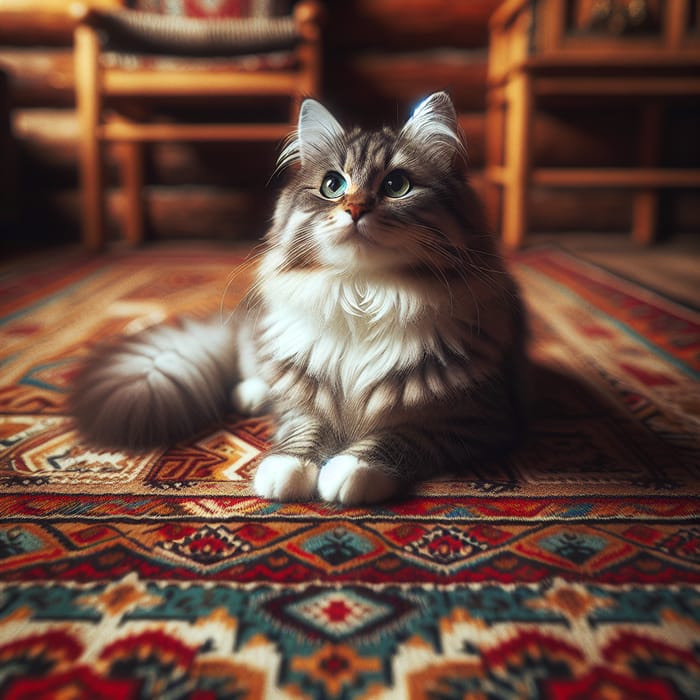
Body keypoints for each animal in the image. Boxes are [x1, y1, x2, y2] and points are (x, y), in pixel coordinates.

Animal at [72, 91, 532, 504]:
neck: (364, 293)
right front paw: (287, 470)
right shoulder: (305, 400)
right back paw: (252, 393)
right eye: (333, 185)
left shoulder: (475, 418)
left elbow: (399, 436)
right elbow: (302, 429)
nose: (355, 209)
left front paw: (351, 471)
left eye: (397, 185)